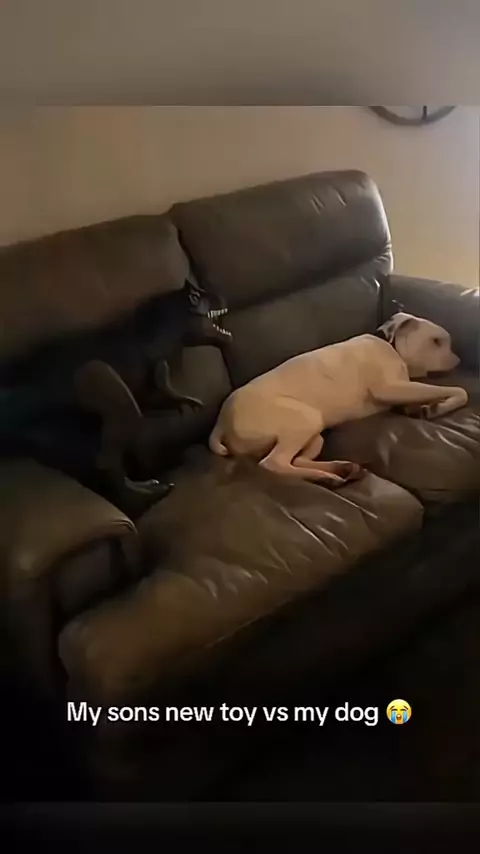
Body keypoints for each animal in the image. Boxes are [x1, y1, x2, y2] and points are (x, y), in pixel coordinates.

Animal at [209, 312, 468, 489]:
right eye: (436, 341)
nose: (458, 360)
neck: (391, 345)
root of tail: (221, 421)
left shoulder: (404, 390)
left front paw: (421, 408)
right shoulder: (391, 388)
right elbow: (458, 390)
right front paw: (439, 406)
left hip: (314, 434)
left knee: (297, 459)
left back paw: (340, 468)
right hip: (305, 420)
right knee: (274, 463)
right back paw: (326, 476)